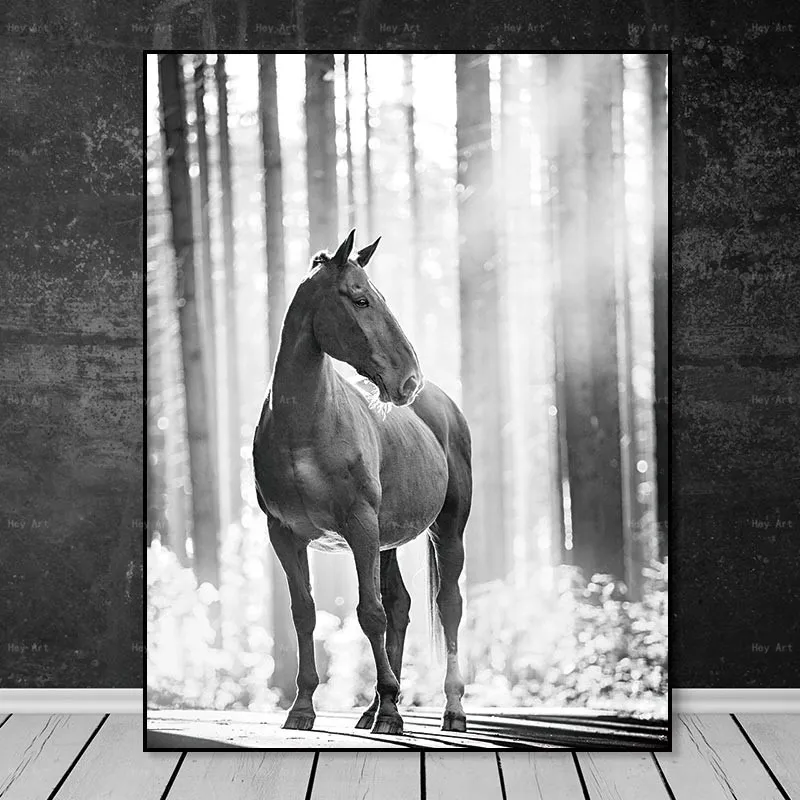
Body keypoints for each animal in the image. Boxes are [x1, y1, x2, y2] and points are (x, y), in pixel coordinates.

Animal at [252, 229, 473, 735]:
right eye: (361, 299)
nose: (409, 379)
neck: (304, 428)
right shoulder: (285, 535)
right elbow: (305, 613)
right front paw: (303, 707)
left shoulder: (360, 526)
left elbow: (369, 613)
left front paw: (392, 707)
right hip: (387, 540)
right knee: (401, 606)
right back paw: (371, 710)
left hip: (446, 531)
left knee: (447, 605)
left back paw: (449, 709)